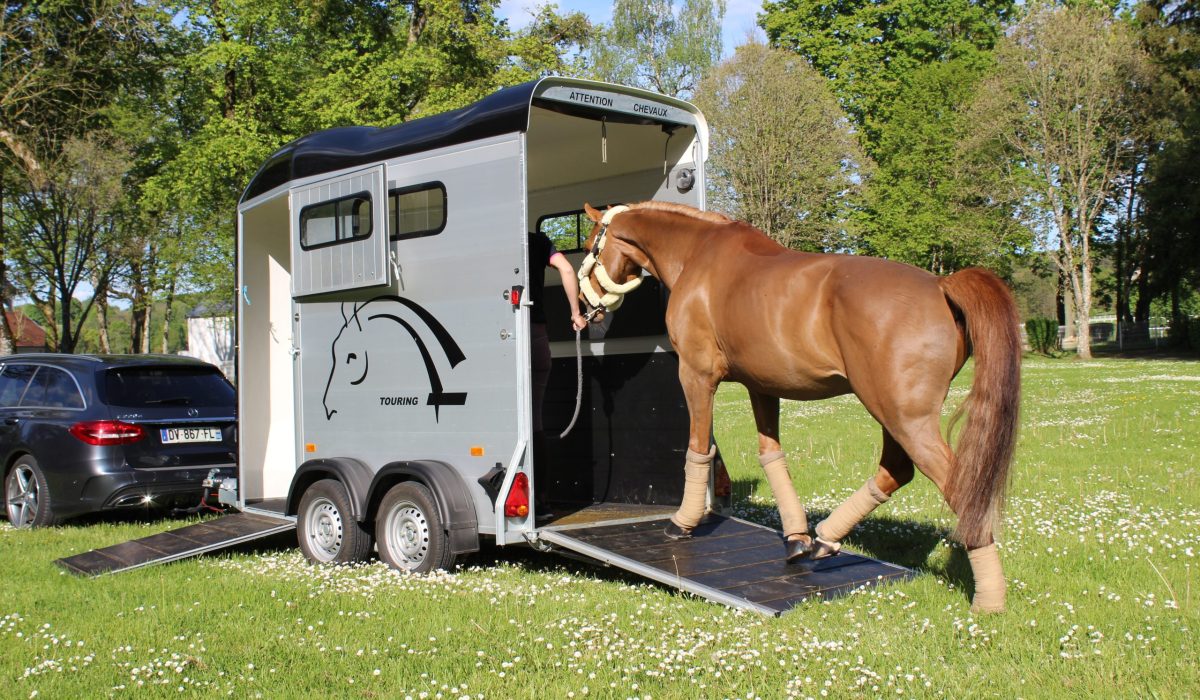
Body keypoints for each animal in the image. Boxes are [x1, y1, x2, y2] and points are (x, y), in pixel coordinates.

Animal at [577, 201, 1021, 613]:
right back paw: (824, 540)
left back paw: (989, 599)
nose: (583, 307)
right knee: (896, 470)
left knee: (960, 487)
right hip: (894, 415)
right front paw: (796, 538)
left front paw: (682, 523)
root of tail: (942, 285)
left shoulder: (697, 376)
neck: (698, 255)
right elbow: (772, 456)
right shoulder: (762, 387)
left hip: (903, 417)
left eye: (590, 244)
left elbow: (698, 448)